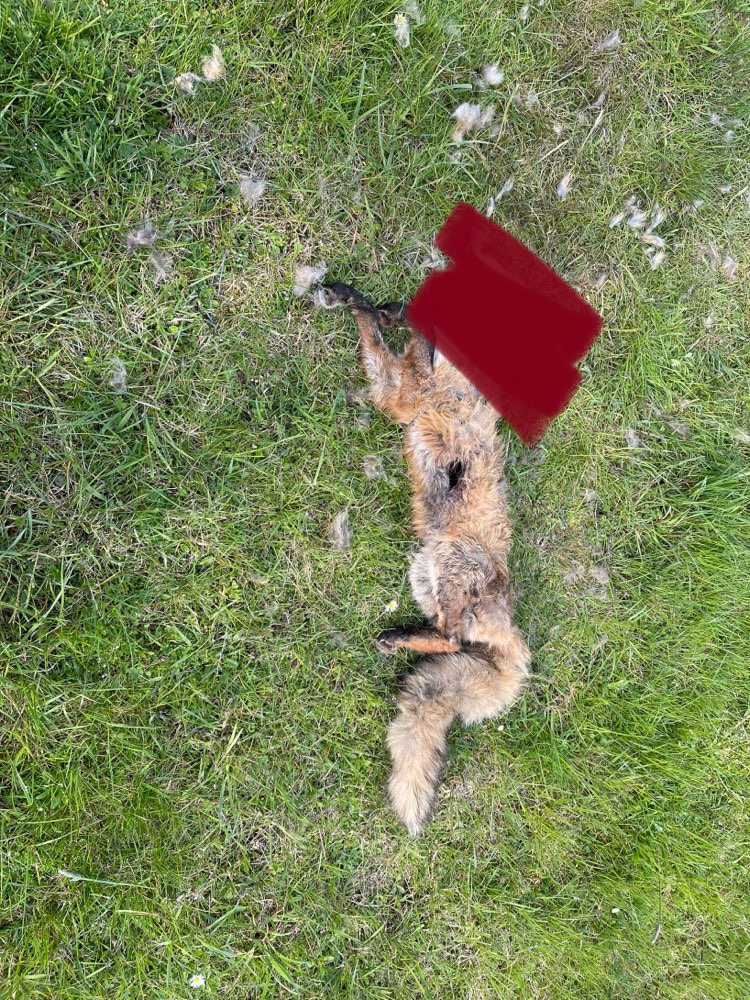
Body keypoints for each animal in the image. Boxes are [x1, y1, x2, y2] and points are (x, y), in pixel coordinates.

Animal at [319, 280, 531, 834]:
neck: (449, 379)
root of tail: (510, 627)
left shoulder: (399, 393)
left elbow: (373, 335)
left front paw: (359, 303)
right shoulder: (403, 386)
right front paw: (372, 303)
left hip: (452, 561)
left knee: (451, 636)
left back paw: (397, 640)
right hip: (426, 572)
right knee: (445, 635)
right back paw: (402, 639)